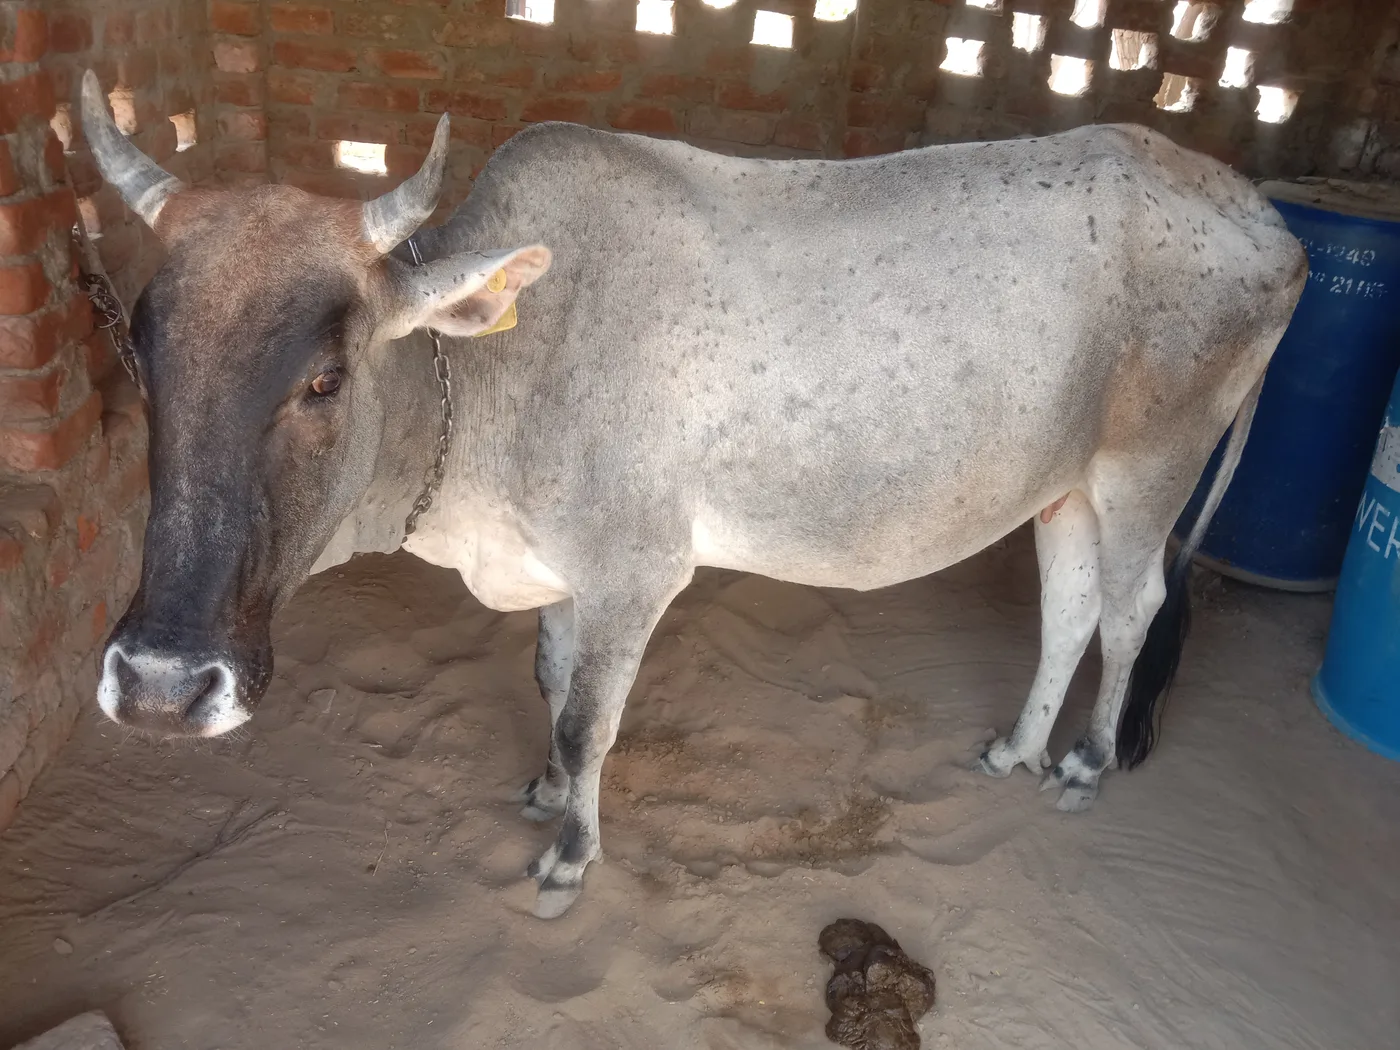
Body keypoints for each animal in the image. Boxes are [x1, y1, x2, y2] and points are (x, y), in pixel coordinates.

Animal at [81, 69, 1306, 918]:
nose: (159, 687)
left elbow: (590, 717)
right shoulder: (561, 574)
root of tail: (1261, 214)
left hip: (1148, 469)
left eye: (323, 379)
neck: (500, 369)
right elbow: (551, 679)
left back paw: (1085, 763)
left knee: (1134, 606)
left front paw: (569, 855)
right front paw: (543, 789)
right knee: (1068, 608)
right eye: (143, 359)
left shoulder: (635, 572)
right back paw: (1017, 747)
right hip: (1062, 485)